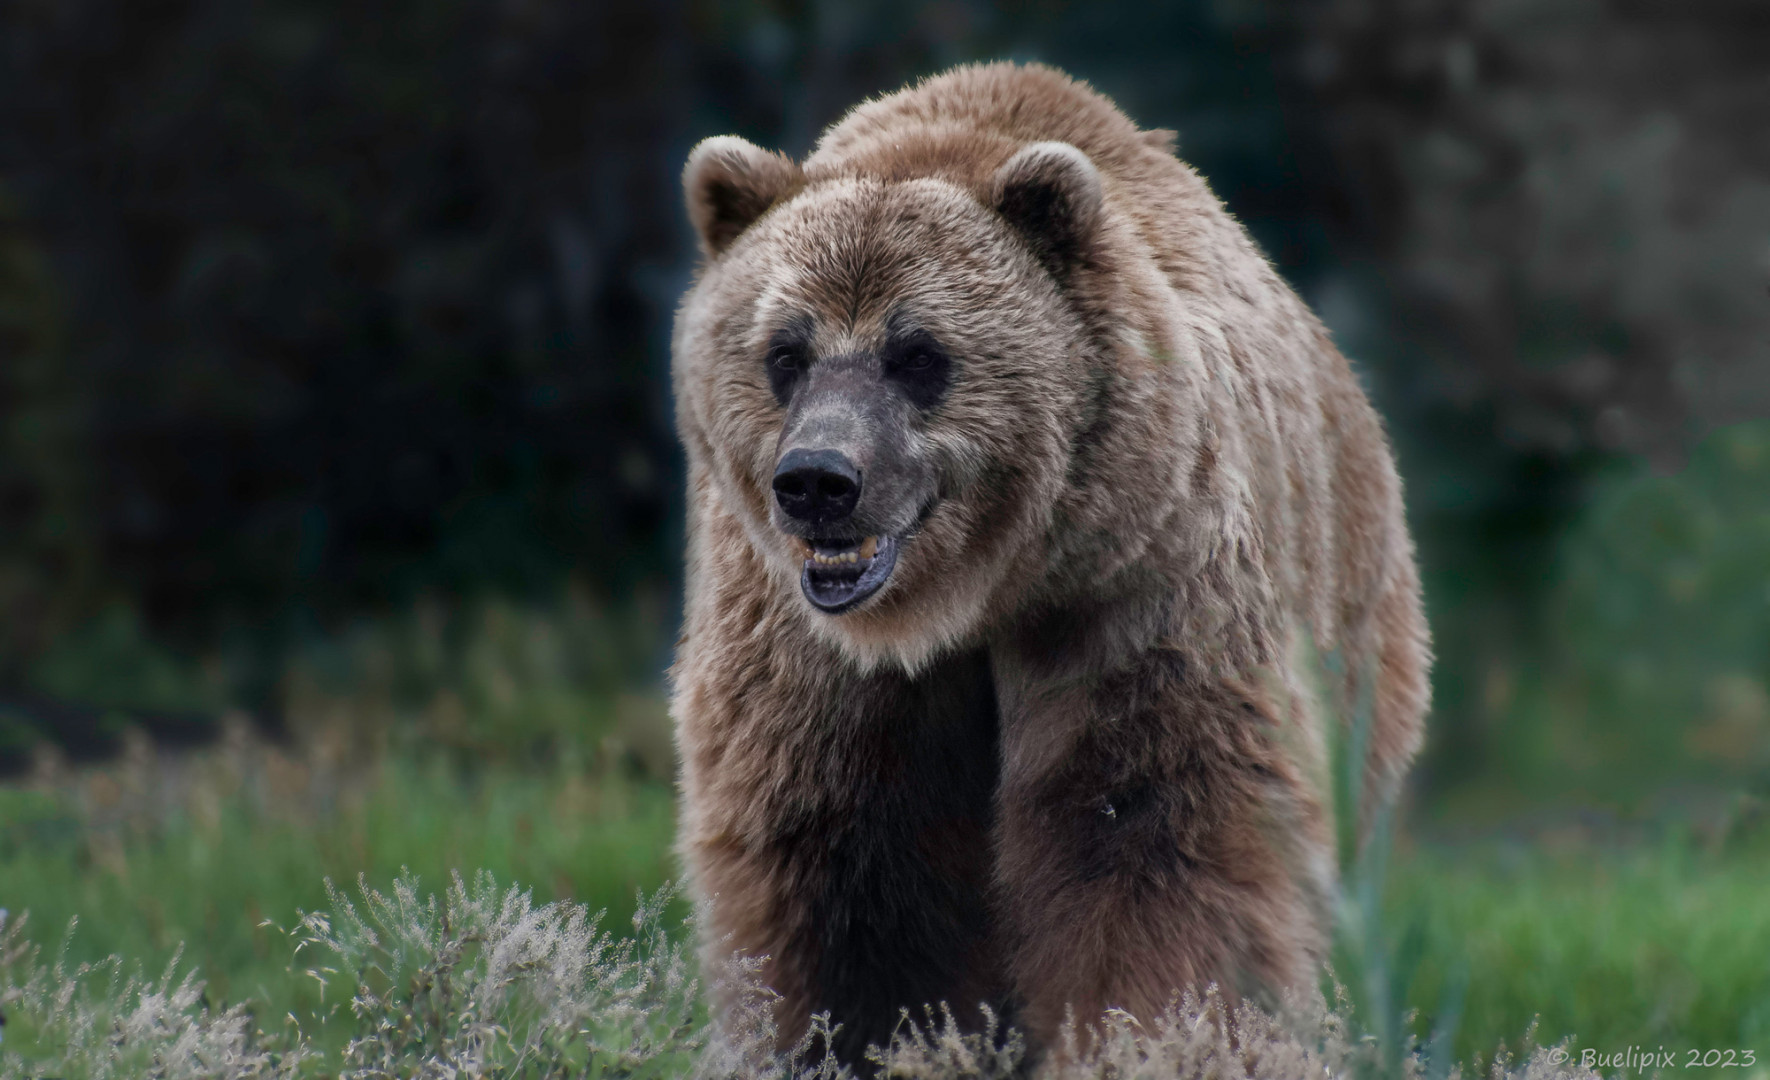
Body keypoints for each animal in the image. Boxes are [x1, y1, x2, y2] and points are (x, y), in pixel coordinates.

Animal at [669, 58, 1430, 1062]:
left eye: (919, 354)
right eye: (785, 352)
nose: (819, 481)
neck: (975, 596)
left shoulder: (1137, 586)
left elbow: (1149, 827)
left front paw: (1155, 1037)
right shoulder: (809, 646)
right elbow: (844, 856)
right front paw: (868, 1039)